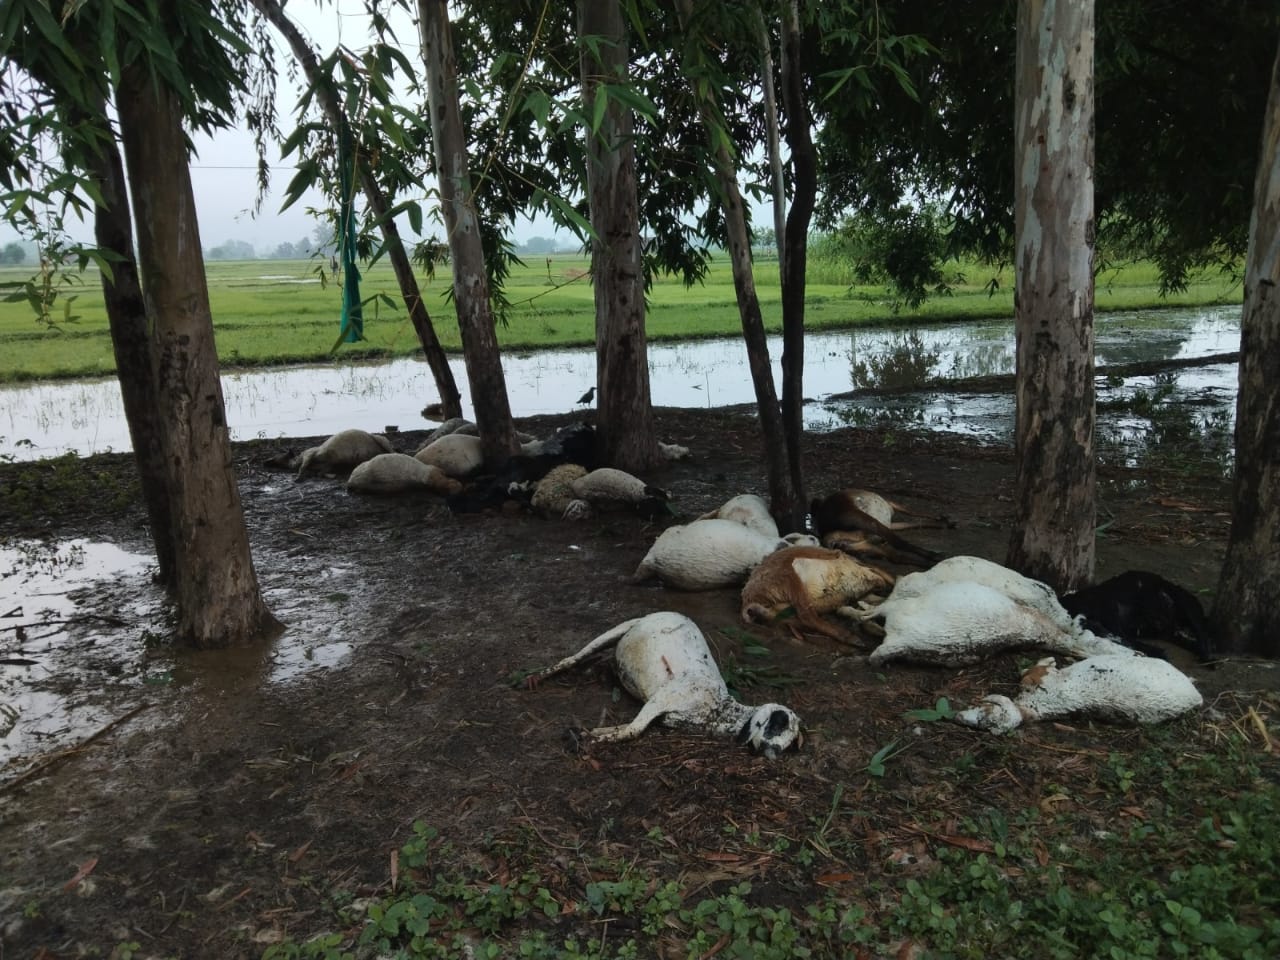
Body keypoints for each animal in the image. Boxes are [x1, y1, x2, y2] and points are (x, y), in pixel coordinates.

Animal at [527, 611, 802, 758]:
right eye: (778, 723)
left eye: (790, 744)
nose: (772, 753)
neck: (717, 710)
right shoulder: (662, 698)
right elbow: (633, 730)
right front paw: (592, 742)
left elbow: (625, 727)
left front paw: (590, 733)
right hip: (620, 629)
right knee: (573, 658)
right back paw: (538, 677)